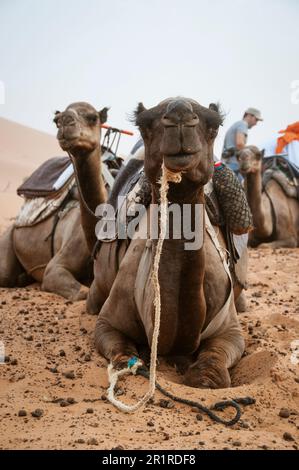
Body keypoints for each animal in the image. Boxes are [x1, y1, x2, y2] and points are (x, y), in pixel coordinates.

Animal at [0, 103, 109, 302]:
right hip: (9, 235)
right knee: (5, 275)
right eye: (56, 121)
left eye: (93, 117)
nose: (66, 120)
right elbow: (82, 292)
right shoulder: (55, 268)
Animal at [57, 96, 247, 390]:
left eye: (214, 126)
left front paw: (204, 377)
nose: (179, 114)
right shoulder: (108, 322)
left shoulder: (231, 329)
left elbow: (214, 362)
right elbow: (122, 353)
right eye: (144, 125)